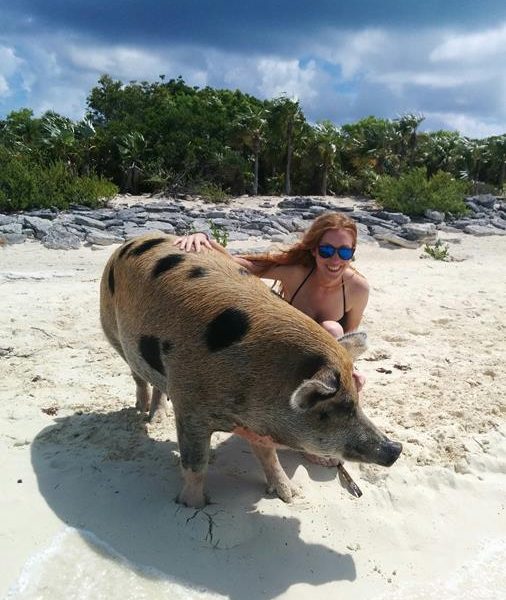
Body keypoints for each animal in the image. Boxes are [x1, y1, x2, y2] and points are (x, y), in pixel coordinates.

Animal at [100, 234, 404, 506]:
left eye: (357, 400)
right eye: (337, 408)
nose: (396, 448)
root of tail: (128, 242)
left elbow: (268, 455)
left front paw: (291, 496)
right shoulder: (189, 409)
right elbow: (196, 464)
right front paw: (192, 506)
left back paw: (155, 417)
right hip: (112, 331)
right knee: (137, 375)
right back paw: (143, 415)